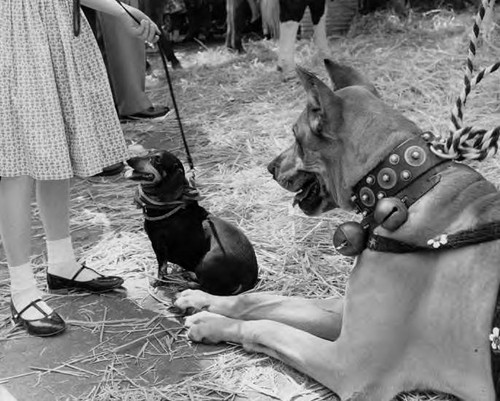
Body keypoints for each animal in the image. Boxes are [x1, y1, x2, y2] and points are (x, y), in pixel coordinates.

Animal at [125, 149, 260, 294]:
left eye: (157, 160)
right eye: (149, 152)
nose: (128, 159)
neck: (172, 205)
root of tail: (247, 282)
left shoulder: (158, 244)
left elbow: (162, 267)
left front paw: (159, 282)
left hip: (206, 261)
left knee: (205, 288)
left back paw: (186, 281)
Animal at [173, 60, 500, 400]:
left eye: (296, 135)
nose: (270, 167)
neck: (407, 186)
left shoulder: (348, 363)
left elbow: (266, 326)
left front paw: (210, 324)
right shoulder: (343, 312)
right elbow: (257, 301)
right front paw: (203, 301)